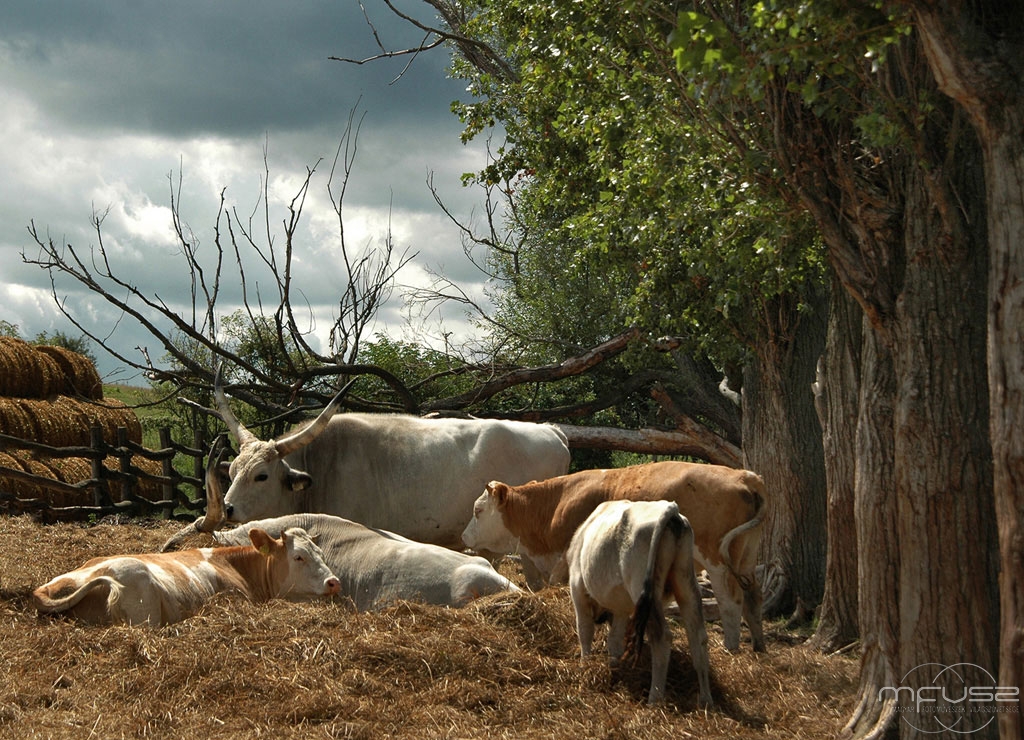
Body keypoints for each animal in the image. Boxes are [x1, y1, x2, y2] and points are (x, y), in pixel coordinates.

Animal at [461, 461, 767, 652]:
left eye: (478, 510)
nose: (464, 537)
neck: (555, 504)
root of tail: (746, 476)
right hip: (746, 560)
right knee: (753, 600)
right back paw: (758, 646)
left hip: (718, 563)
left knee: (731, 602)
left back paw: (731, 647)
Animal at [567, 499, 712, 706]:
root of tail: (670, 509)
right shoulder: (620, 608)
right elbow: (614, 639)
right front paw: (614, 668)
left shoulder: (578, 591)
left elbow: (584, 632)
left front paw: (584, 666)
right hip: (685, 582)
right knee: (698, 637)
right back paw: (706, 699)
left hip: (643, 590)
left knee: (662, 638)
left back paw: (654, 699)